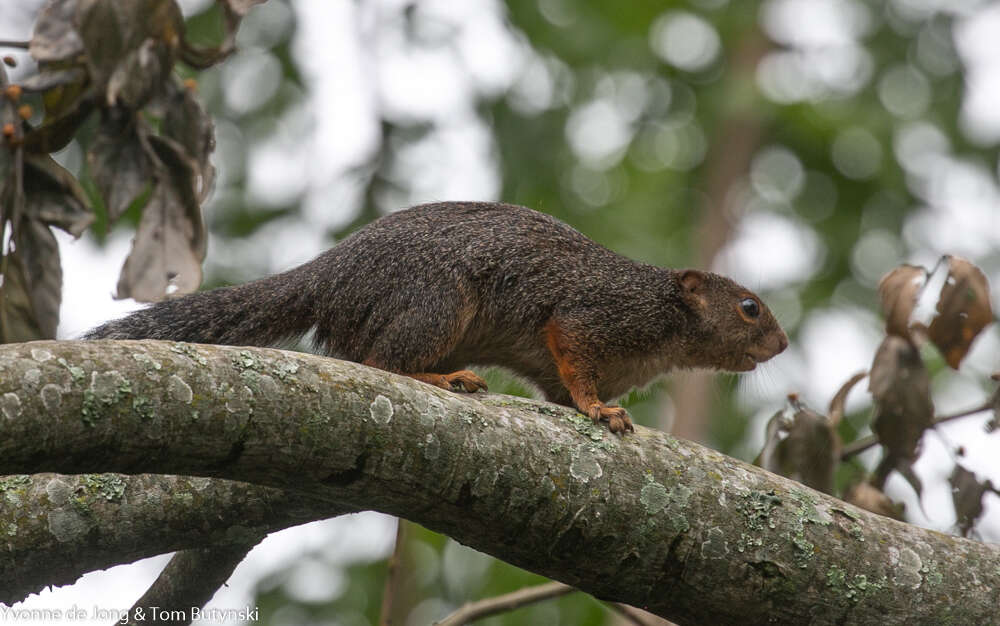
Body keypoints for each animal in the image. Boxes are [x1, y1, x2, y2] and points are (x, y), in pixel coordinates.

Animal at [86, 202, 788, 432]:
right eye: (749, 307)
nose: (782, 344)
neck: (667, 327)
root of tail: (332, 274)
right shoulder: (594, 314)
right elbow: (573, 355)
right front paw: (599, 410)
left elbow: (559, 387)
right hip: (434, 303)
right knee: (380, 362)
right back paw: (443, 379)